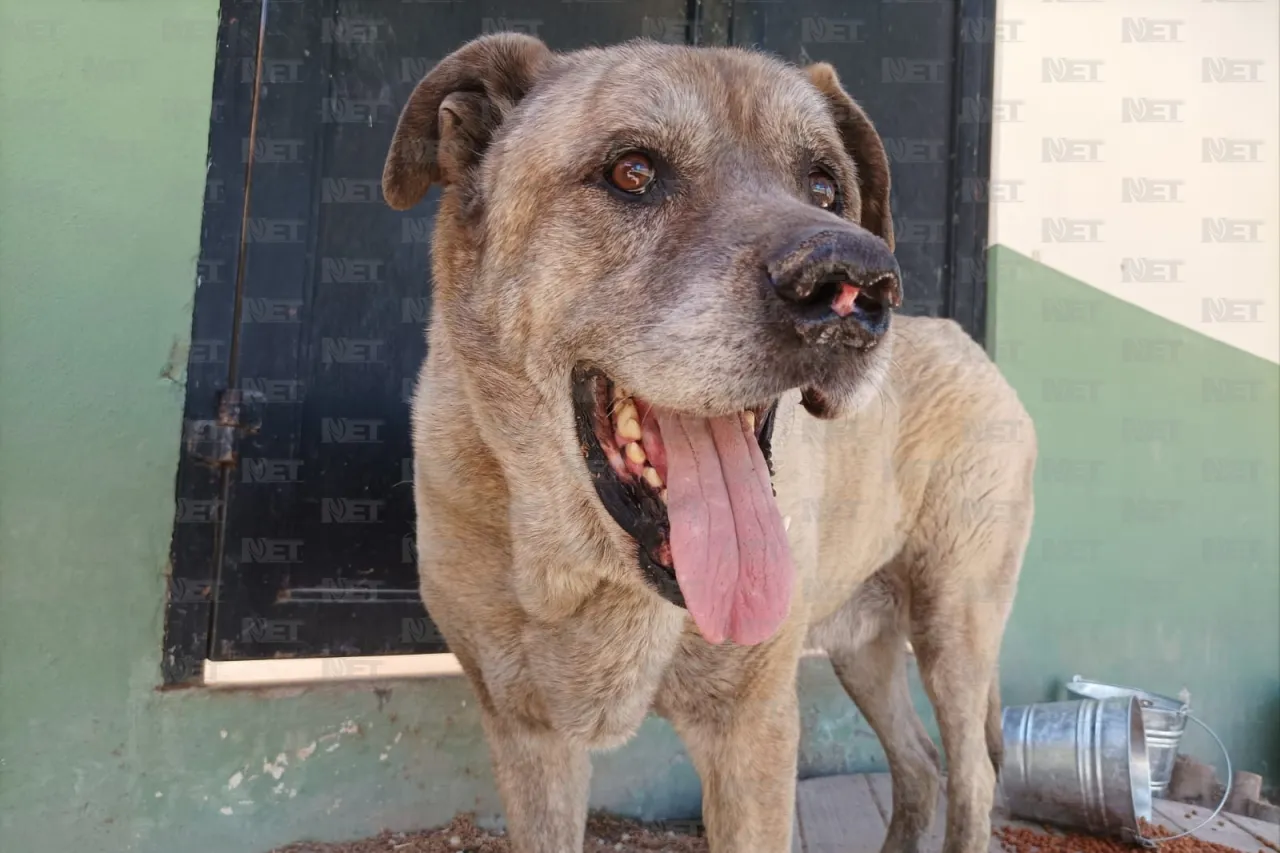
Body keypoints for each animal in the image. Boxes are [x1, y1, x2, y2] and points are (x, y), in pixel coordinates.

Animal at [381, 33, 1039, 850]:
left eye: (825, 187)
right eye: (632, 172)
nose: (856, 284)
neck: (588, 572)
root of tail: (968, 341)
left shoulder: (753, 727)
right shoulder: (527, 736)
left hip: (957, 625)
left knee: (971, 773)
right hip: (862, 645)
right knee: (917, 761)